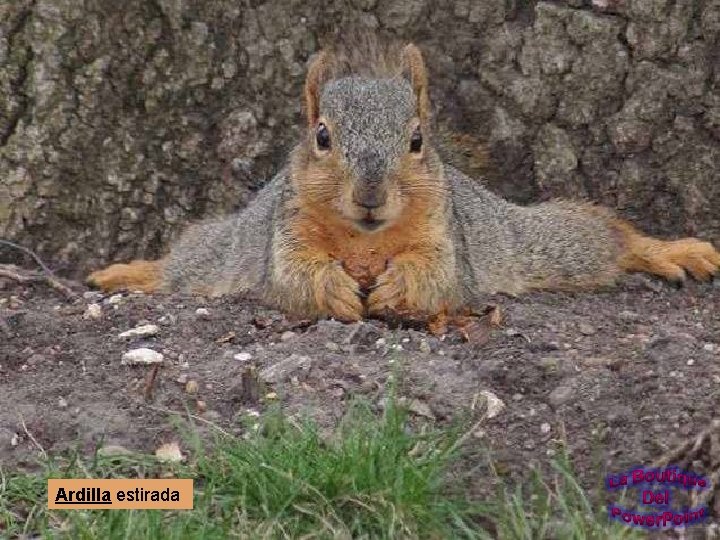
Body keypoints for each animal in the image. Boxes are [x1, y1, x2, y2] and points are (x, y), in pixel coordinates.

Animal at [88, 41, 720, 322]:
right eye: (322, 136)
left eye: (416, 140)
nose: (370, 195)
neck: (366, 240)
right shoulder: (285, 232)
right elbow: (295, 276)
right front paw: (335, 289)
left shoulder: (447, 237)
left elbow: (437, 275)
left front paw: (397, 289)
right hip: (220, 250)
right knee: (183, 263)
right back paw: (129, 272)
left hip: (537, 242)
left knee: (601, 235)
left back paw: (670, 251)